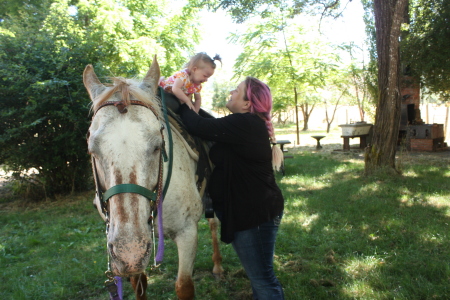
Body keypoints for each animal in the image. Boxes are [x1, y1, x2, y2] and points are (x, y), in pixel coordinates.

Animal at [82, 56, 223, 300]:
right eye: (92, 150)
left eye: (158, 145)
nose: (129, 250)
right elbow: (139, 285)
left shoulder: (187, 233)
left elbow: (184, 286)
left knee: (214, 223)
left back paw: (217, 267)